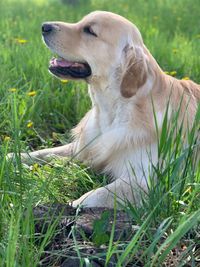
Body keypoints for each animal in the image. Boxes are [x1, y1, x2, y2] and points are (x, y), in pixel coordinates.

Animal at [9, 11, 200, 209]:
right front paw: (14, 156)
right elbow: (46, 152)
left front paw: (70, 204)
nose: (44, 26)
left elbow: (97, 194)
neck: (113, 109)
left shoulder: (147, 182)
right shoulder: (83, 147)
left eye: (89, 31)